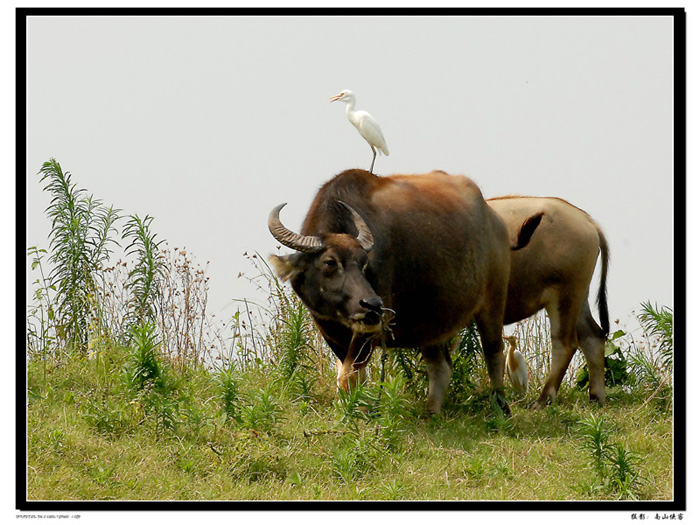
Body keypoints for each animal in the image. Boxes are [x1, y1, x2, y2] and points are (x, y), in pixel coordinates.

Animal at [490, 195, 608, 406]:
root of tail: (588, 222)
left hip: (563, 298)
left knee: (565, 343)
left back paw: (543, 399)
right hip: (579, 298)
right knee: (593, 337)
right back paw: (596, 398)